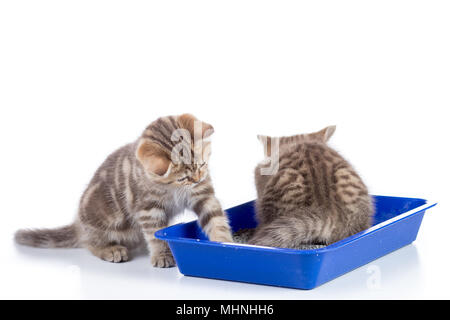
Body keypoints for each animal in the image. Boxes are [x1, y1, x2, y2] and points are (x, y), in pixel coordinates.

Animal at [14, 114, 232, 266]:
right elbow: (155, 234)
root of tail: (78, 224)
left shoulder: (202, 194)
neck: (172, 189)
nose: (197, 178)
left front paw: (225, 243)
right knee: (89, 242)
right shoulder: (148, 209)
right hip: (104, 221)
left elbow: (216, 220)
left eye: (202, 165)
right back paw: (111, 250)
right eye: (183, 177)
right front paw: (161, 254)